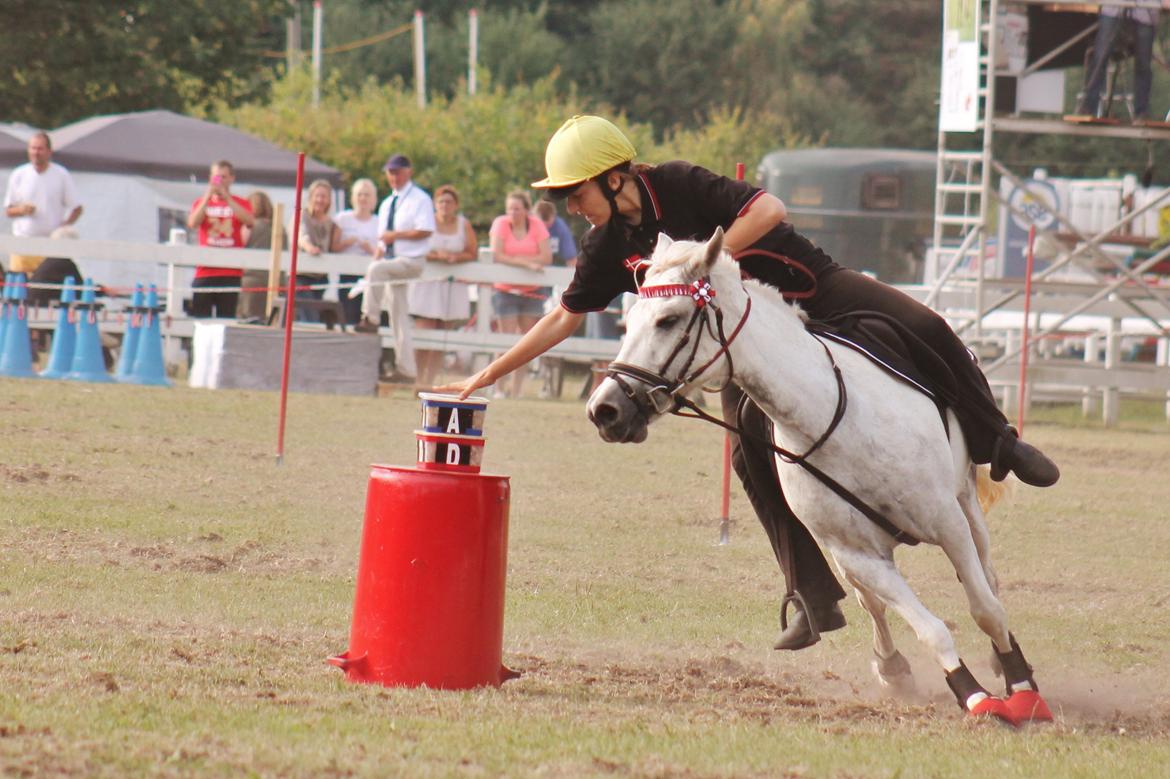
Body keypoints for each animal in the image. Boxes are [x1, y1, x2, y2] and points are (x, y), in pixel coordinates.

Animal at [589, 228, 1057, 725]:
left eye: (668, 319)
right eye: (628, 320)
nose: (605, 409)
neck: (827, 414)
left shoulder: (946, 523)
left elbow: (985, 608)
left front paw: (1021, 688)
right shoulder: (855, 554)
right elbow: (929, 628)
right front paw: (972, 694)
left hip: (966, 502)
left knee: (988, 576)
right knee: (874, 604)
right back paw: (892, 667)